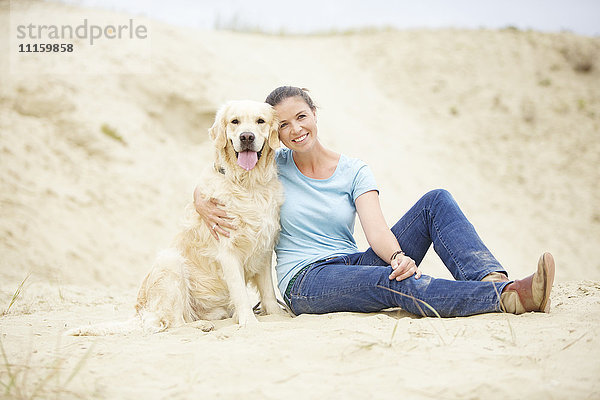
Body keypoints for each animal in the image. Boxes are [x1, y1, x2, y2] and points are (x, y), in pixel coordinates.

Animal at [69, 101, 284, 334]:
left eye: (260, 121)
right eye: (235, 121)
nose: (246, 137)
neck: (249, 185)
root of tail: (139, 314)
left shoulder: (263, 247)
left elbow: (268, 291)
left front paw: (277, 315)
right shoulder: (227, 249)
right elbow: (240, 293)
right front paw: (249, 322)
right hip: (170, 262)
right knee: (171, 322)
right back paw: (200, 325)